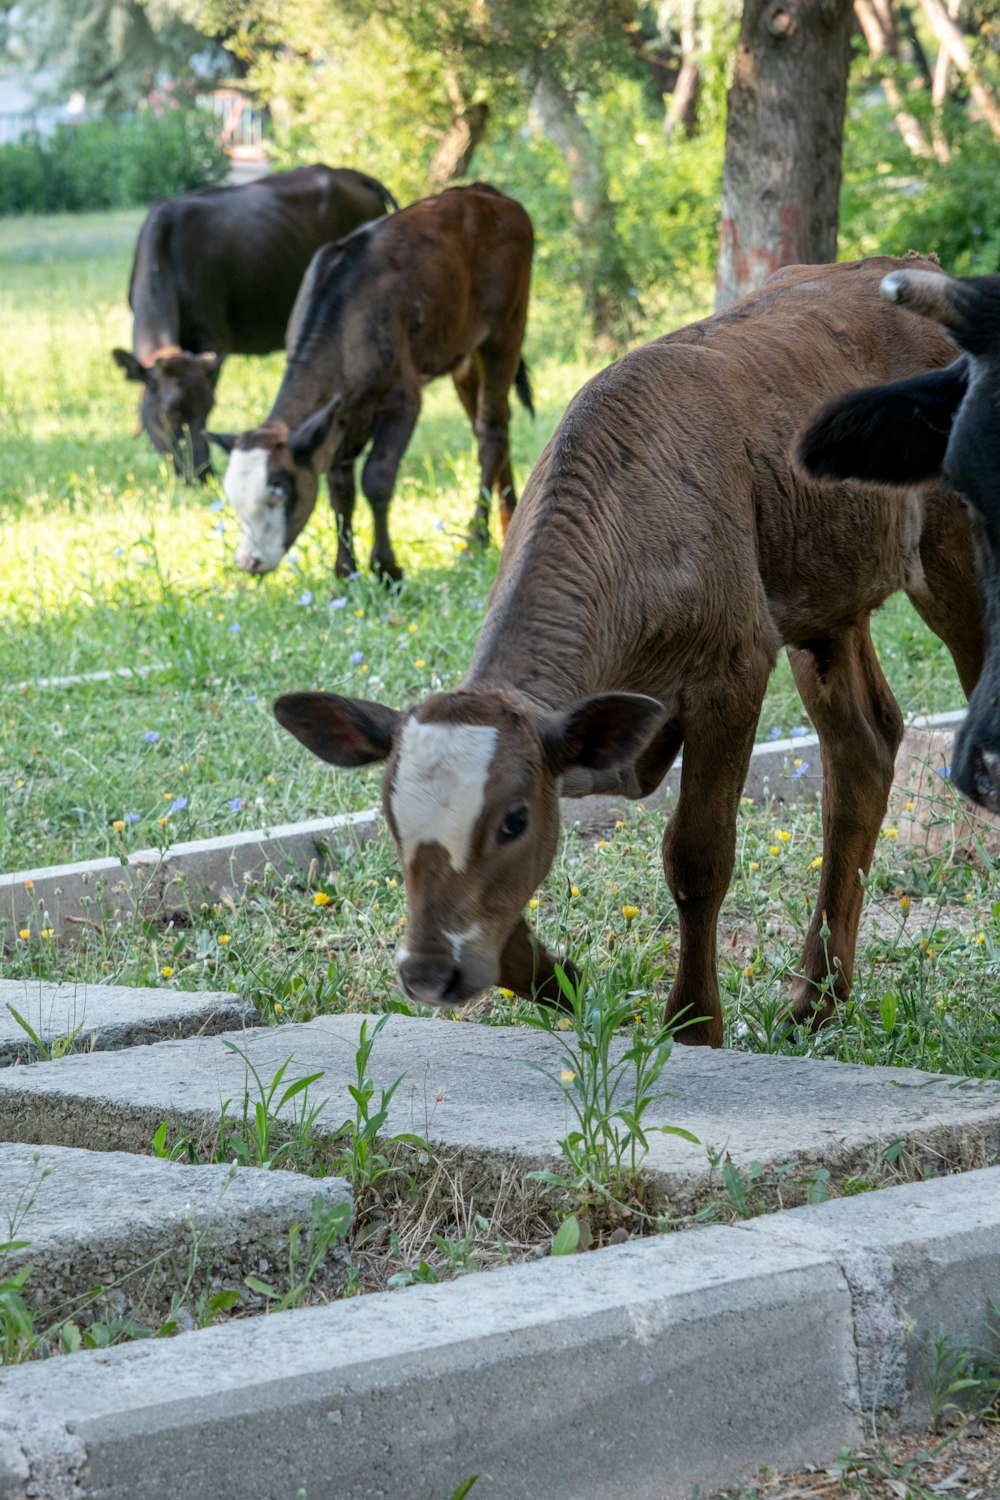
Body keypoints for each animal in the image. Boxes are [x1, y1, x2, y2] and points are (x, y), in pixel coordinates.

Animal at [211, 184, 536, 582]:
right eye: (234, 499)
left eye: (278, 492)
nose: (250, 562)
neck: (344, 326)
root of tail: (484, 193)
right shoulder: (338, 417)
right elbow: (340, 487)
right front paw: (345, 570)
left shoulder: (402, 400)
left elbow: (376, 479)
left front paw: (387, 569)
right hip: (461, 352)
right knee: (493, 425)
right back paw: (510, 524)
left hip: (506, 330)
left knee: (490, 432)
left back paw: (476, 540)